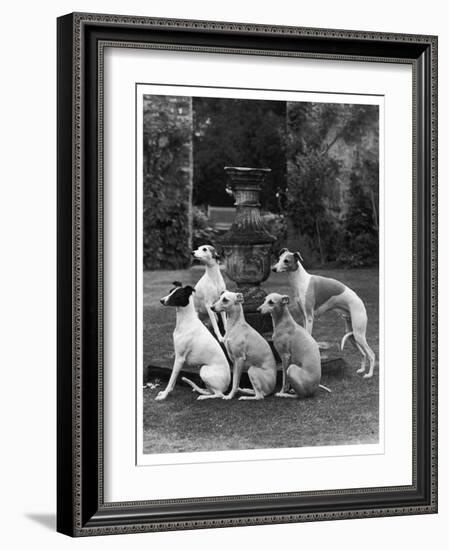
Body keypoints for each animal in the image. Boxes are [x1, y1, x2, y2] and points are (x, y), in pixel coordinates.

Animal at [272, 250, 372, 380]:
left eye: (286, 261)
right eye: (279, 258)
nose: (273, 269)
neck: (301, 281)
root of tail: (360, 301)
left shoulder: (310, 317)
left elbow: (309, 334)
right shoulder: (304, 317)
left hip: (359, 333)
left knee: (371, 354)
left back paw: (369, 374)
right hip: (352, 335)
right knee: (364, 353)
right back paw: (362, 370)